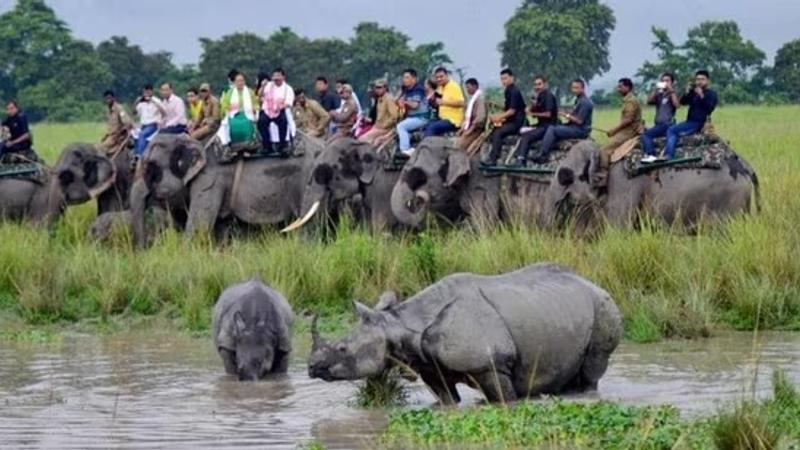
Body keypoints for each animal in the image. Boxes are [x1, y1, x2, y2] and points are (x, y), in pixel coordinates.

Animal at [308, 264, 624, 404]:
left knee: (594, 366)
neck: (398, 324)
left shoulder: (491, 364)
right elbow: (447, 399)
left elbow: (504, 399)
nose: (311, 367)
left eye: (342, 349)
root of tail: (592, 282)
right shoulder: (429, 366)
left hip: (604, 306)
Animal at [548, 141, 760, 232]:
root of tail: (747, 167)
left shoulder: (624, 183)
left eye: (565, 176)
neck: (604, 153)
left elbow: (619, 228)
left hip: (729, 202)